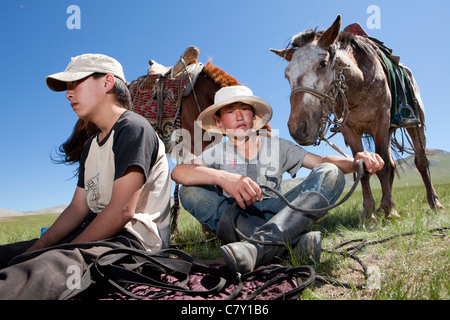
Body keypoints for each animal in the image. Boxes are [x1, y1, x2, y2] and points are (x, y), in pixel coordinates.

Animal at [270, 15, 442, 222]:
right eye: (287, 75)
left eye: (323, 64)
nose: (298, 129)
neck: (359, 84)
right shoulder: (350, 130)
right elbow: (364, 169)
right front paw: (369, 214)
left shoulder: (380, 121)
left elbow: (384, 167)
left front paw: (390, 211)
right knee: (393, 164)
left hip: (414, 125)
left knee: (421, 162)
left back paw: (434, 203)